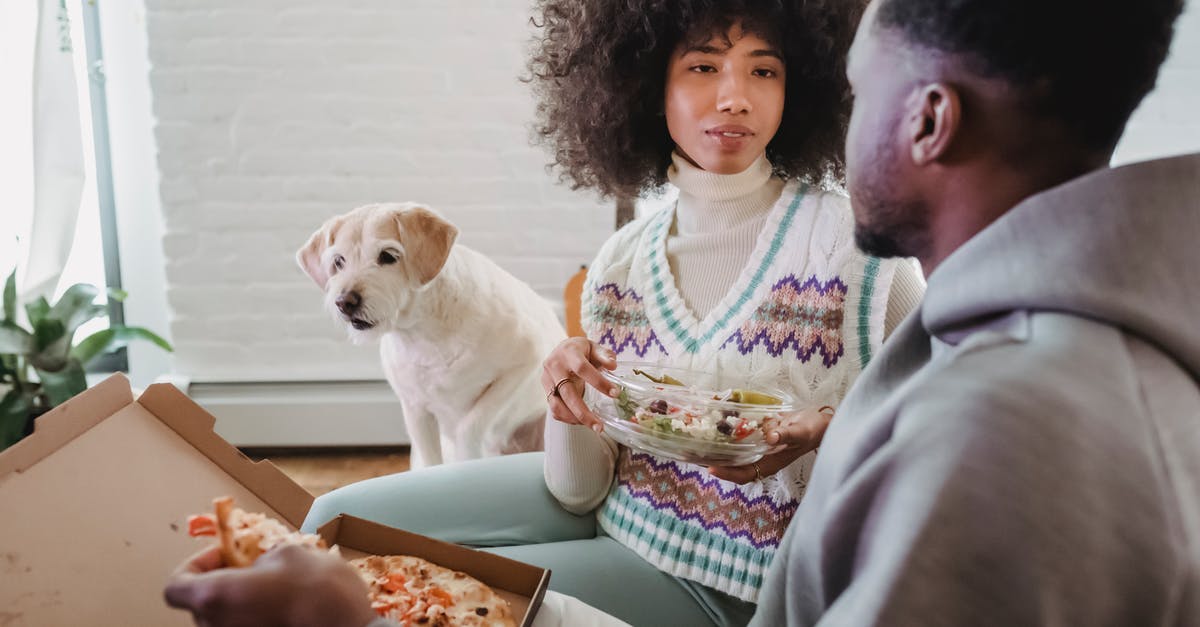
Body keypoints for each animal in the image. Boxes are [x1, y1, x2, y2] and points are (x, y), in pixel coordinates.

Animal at [297, 202, 564, 466]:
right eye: (339, 261)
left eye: (388, 256)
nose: (345, 302)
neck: (424, 332)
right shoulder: (416, 412)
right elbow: (430, 459)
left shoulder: (525, 362)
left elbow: (471, 424)